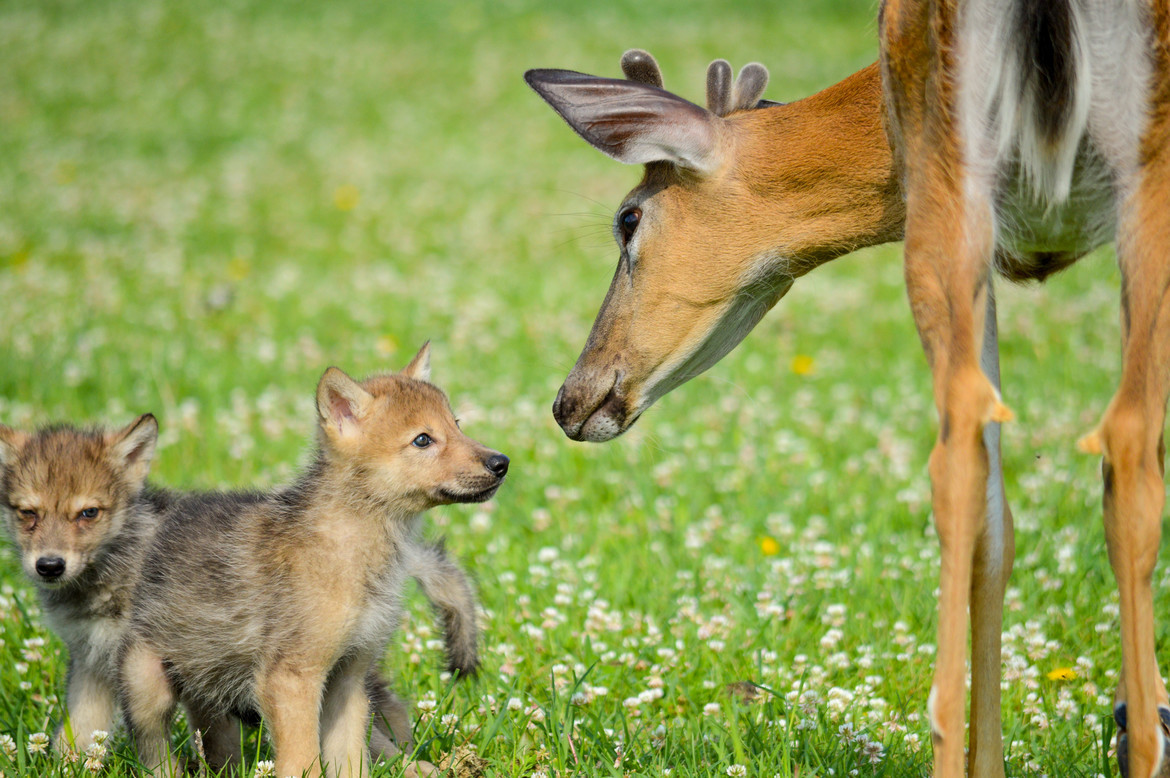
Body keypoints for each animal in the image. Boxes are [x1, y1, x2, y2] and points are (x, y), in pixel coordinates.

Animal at [118, 343, 508, 778]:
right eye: (423, 440)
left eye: (456, 425)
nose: (501, 463)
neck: (357, 550)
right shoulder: (292, 676)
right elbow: (302, 759)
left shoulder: (349, 678)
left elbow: (351, 760)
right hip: (147, 688)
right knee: (155, 752)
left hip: (208, 687)